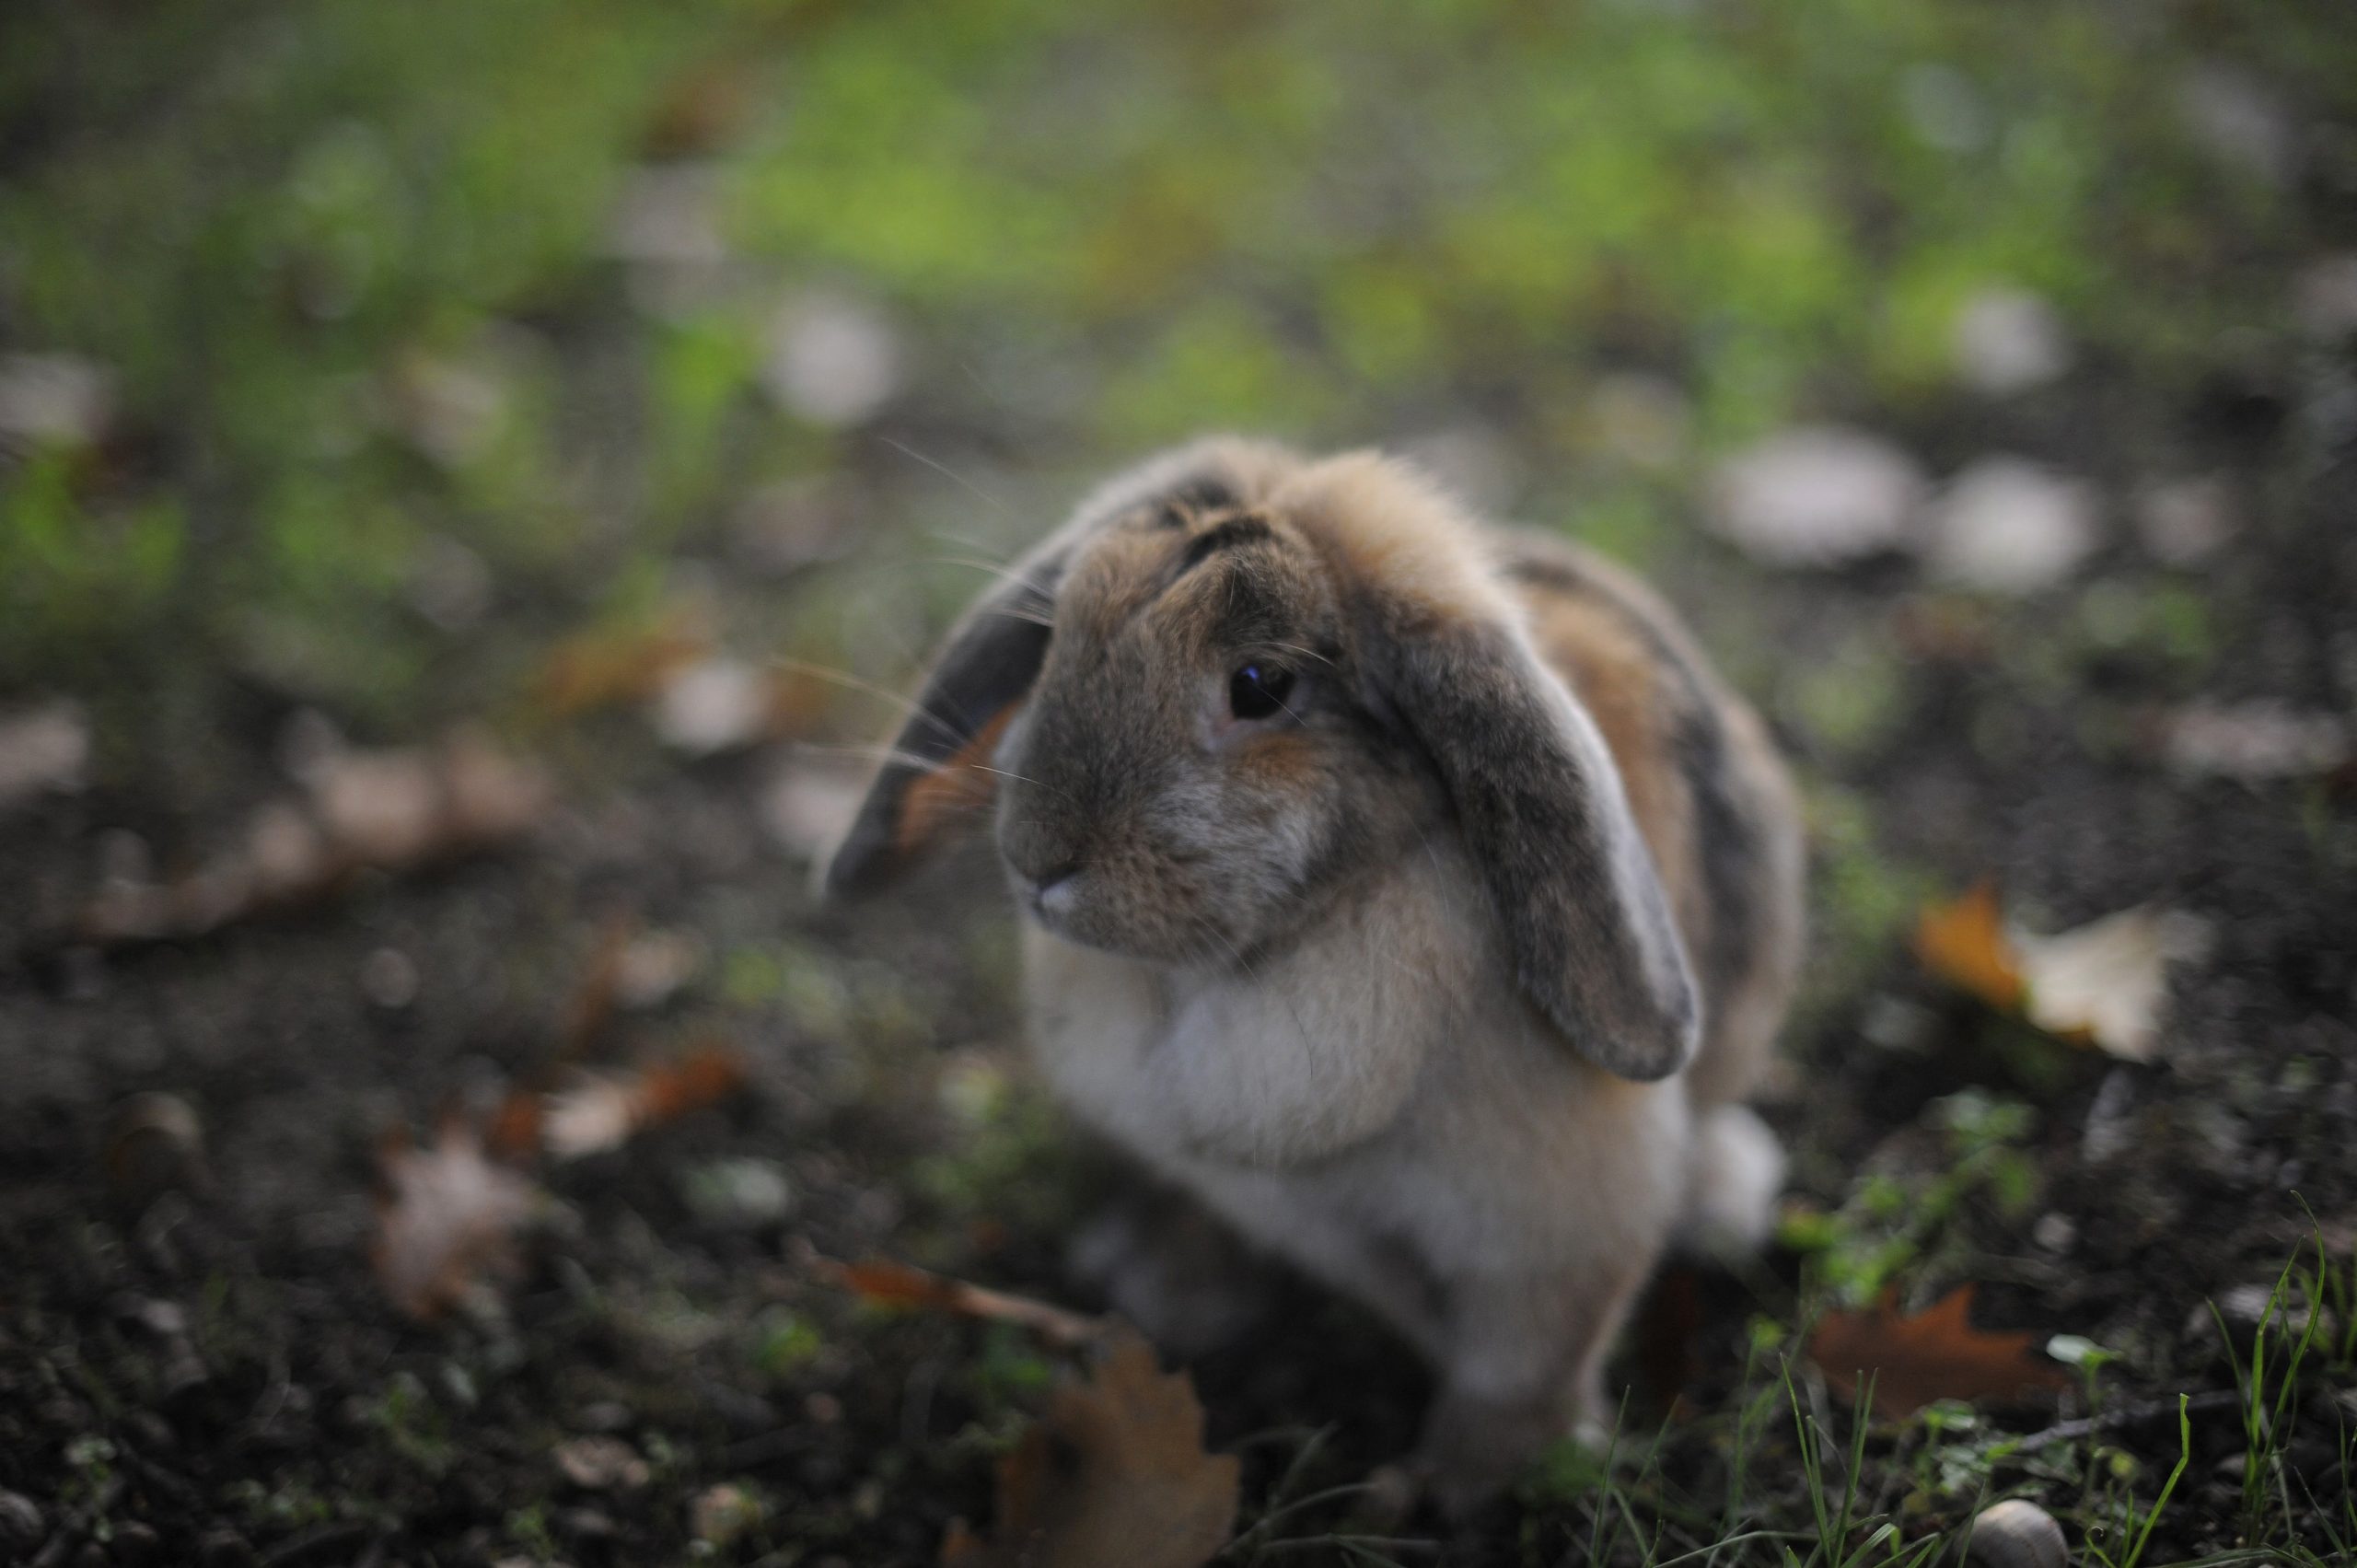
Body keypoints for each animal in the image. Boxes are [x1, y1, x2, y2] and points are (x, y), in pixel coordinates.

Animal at [827, 437, 1805, 1506]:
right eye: (1061, 632)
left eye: (1259, 683)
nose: (1038, 859)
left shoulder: (1555, 1235)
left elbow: (1520, 1366)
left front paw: (1469, 1485)